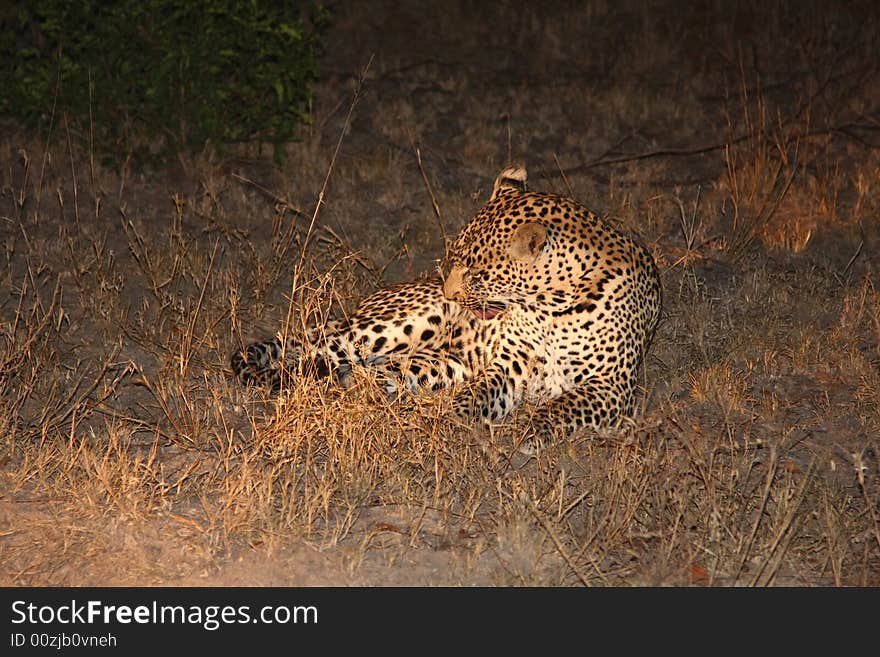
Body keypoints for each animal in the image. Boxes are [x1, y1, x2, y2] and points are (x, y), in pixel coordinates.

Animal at [234, 165, 660, 446]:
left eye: (476, 272)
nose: (450, 293)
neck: (550, 307)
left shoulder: (612, 385)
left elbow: (564, 406)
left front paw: (532, 429)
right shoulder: (507, 367)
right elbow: (476, 395)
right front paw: (452, 418)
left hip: (435, 364)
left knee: (361, 375)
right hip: (386, 329)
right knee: (311, 353)